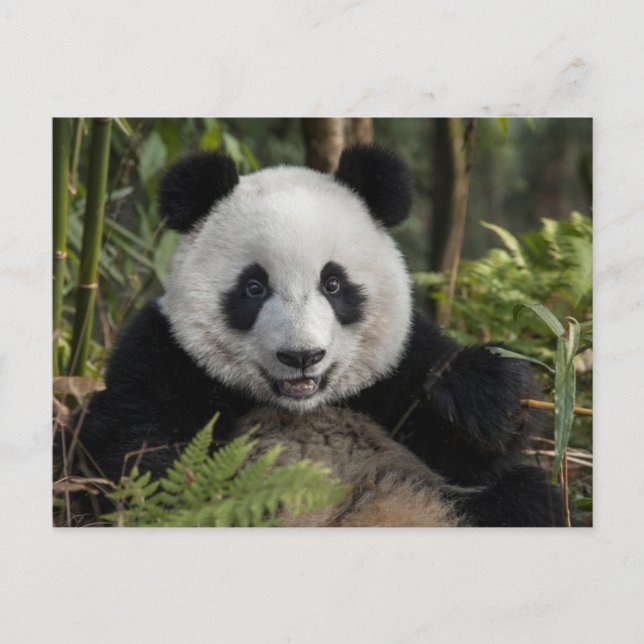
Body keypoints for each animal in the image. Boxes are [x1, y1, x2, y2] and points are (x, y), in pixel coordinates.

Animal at [74, 145, 563, 527]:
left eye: (333, 283)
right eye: (254, 287)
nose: (301, 356)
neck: (300, 406)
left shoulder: (397, 368)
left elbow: (468, 452)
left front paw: (483, 394)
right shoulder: (165, 356)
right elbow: (133, 453)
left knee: (525, 498)